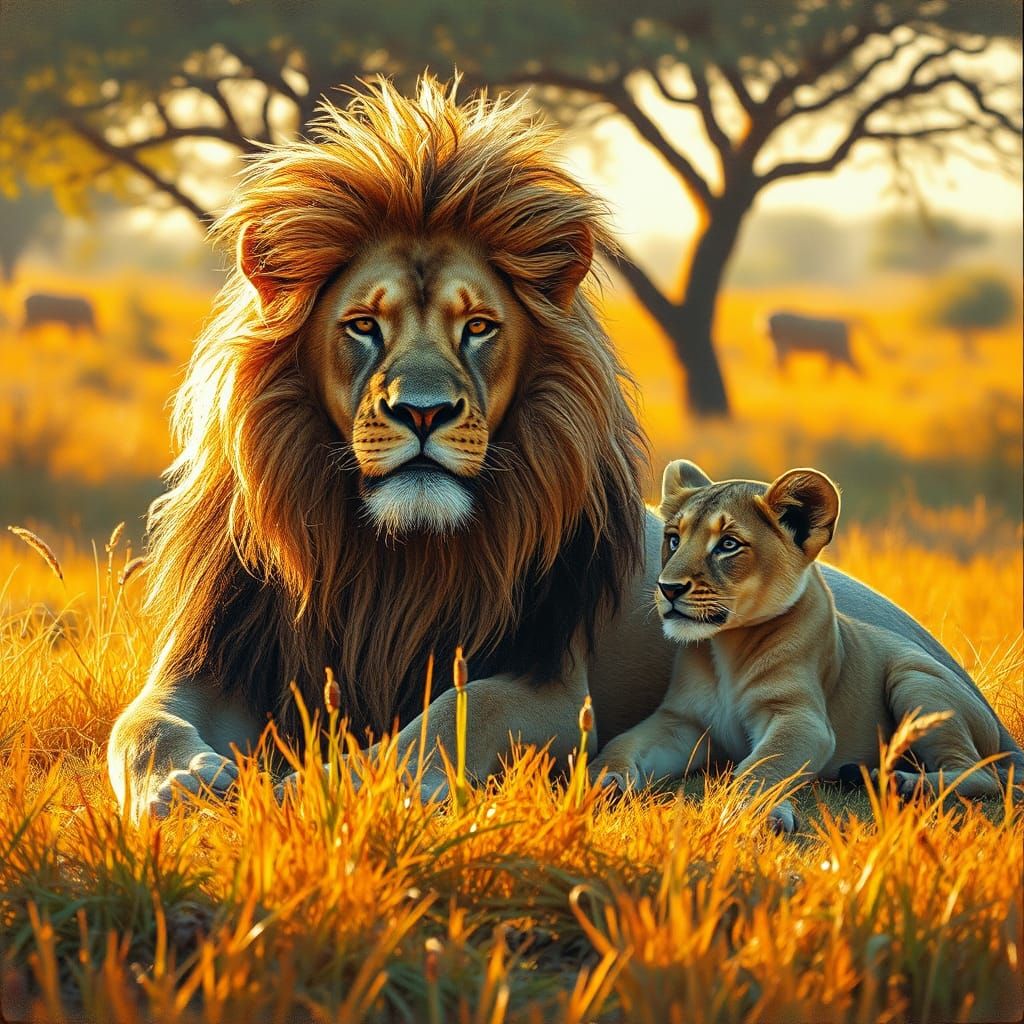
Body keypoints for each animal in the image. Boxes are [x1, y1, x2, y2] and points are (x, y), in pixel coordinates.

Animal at [590, 460, 1020, 831]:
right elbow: (621, 743)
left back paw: (901, 783)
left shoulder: (801, 718)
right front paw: (599, 780)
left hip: (914, 680)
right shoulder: (682, 722)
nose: (667, 588)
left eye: (728, 544)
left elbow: (761, 765)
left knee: (981, 773)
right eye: (673, 539)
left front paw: (749, 812)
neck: (727, 647)